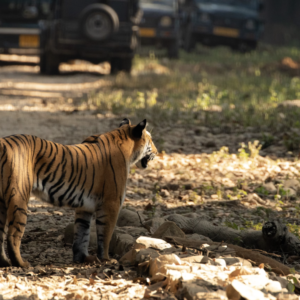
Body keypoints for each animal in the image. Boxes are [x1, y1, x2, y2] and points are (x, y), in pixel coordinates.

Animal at [0, 117, 157, 268]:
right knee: (13, 234)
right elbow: (105, 234)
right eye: (150, 140)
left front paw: (82, 258)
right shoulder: (111, 203)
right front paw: (106, 259)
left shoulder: (85, 206)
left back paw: (5, 262)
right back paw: (21, 264)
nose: (157, 152)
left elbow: (82, 233)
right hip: (19, 197)